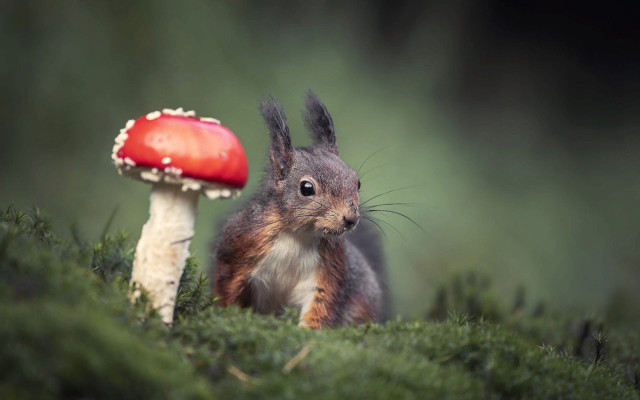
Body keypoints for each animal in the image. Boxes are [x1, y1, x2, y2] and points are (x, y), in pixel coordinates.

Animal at [211, 91, 389, 328]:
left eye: (357, 182)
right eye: (306, 188)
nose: (350, 218)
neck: (296, 235)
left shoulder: (330, 269)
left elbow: (321, 304)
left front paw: (309, 332)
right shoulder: (240, 244)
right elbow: (227, 286)